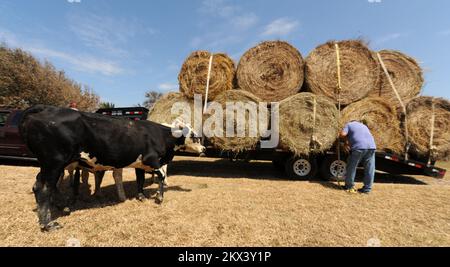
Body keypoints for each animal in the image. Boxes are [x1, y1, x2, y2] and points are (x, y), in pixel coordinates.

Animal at [18, 105, 206, 231]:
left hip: (51, 165)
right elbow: (160, 176)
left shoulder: (140, 163)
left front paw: (141, 196)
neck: (161, 134)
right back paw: (48, 224)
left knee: (45, 186)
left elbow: (140, 180)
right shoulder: (152, 159)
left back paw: (61, 208)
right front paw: (159, 198)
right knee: (43, 188)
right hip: (54, 162)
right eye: (194, 136)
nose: (204, 149)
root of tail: (44, 109)